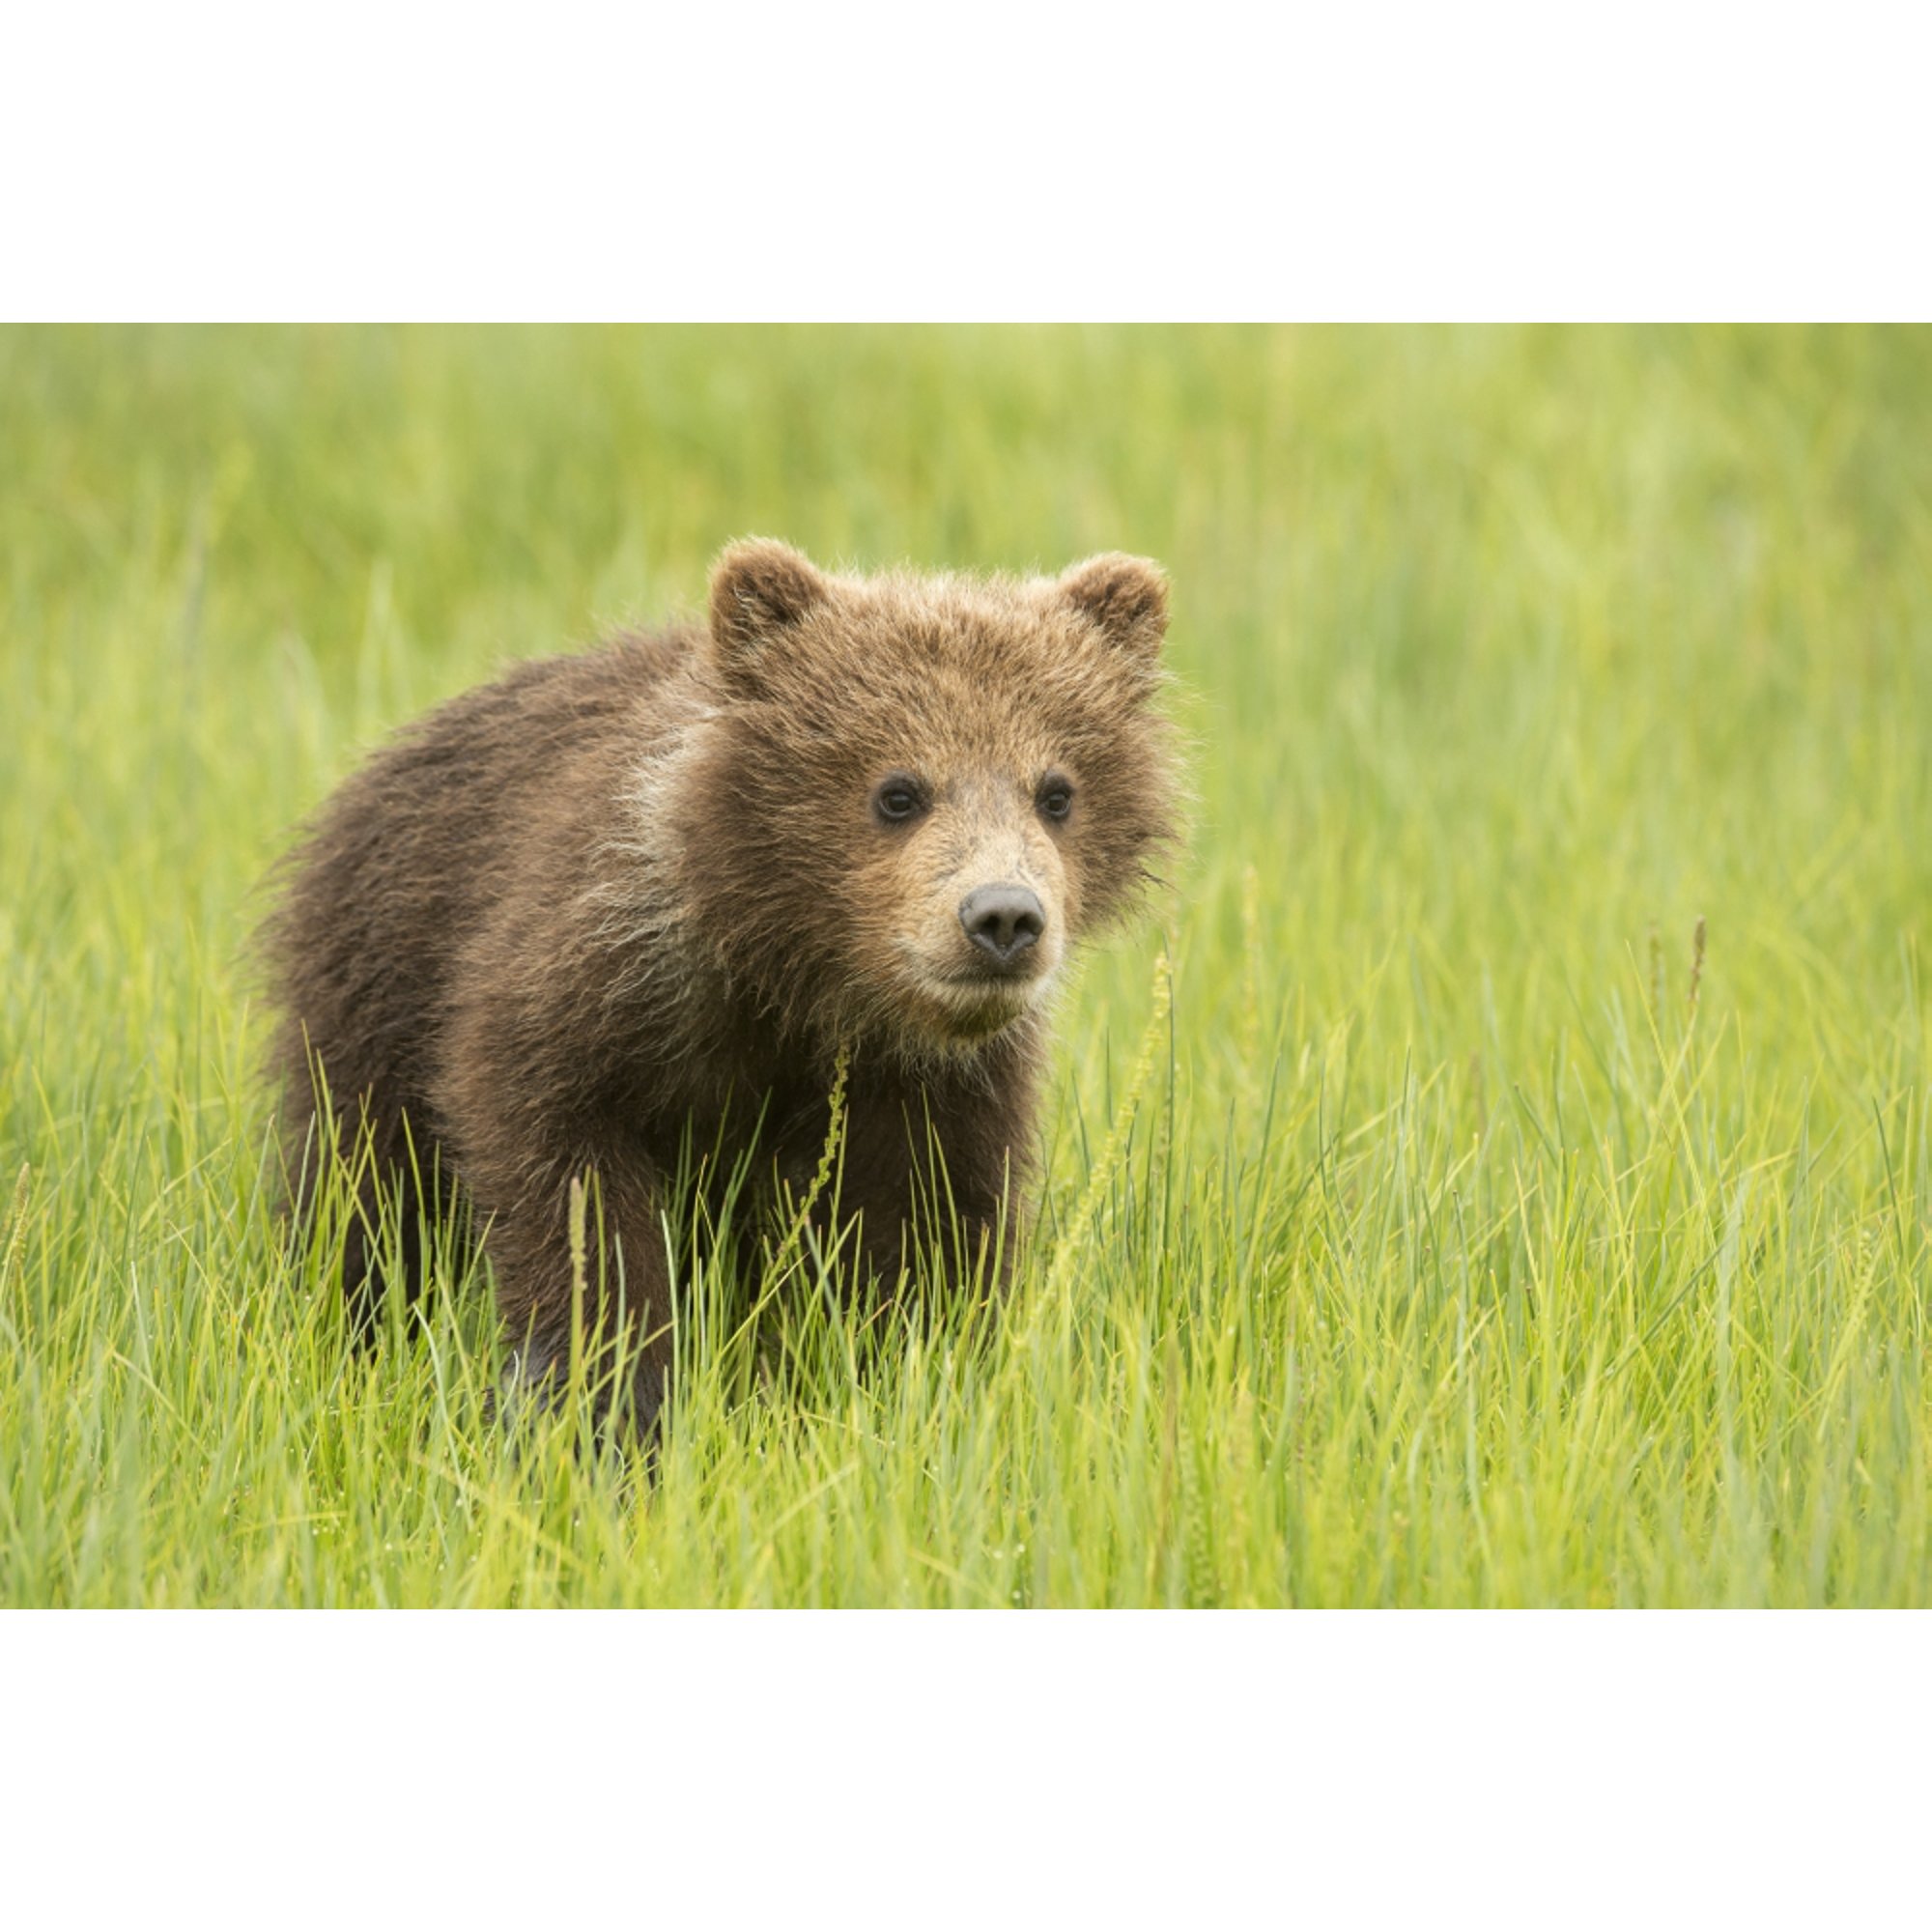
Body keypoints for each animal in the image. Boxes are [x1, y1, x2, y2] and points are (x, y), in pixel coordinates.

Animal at [262, 538, 1179, 1432]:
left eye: (1056, 791)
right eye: (898, 790)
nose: (1002, 918)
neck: (801, 979)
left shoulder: (927, 1081)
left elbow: (927, 1225)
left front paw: (908, 1376)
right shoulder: (595, 984)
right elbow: (573, 1195)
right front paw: (607, 1403)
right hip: (374, 986)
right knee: (366, 1190)